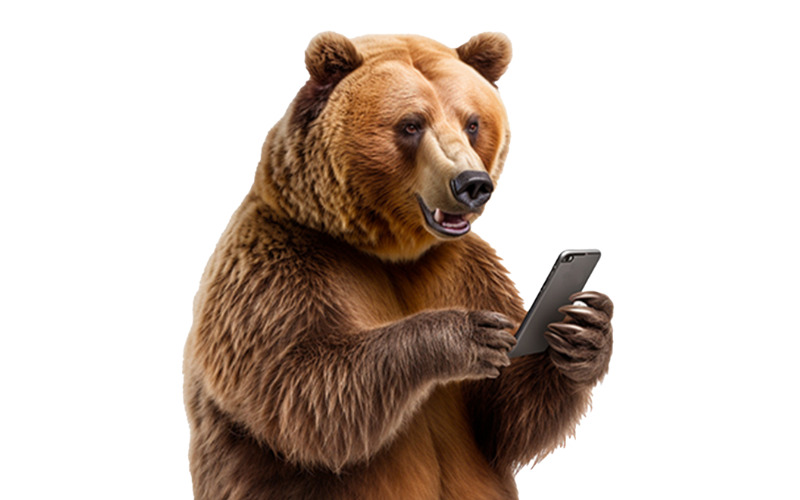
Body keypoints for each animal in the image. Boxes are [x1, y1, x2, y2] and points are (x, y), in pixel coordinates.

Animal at [183, 32, 613, 500]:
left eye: (472, 123)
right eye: (411, 124)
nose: (473, 184)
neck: (391, 252)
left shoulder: (465, 267)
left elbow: (502, 416)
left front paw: (586, 333)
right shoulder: (277, 267)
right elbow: (303, 390)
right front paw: (467, 334)